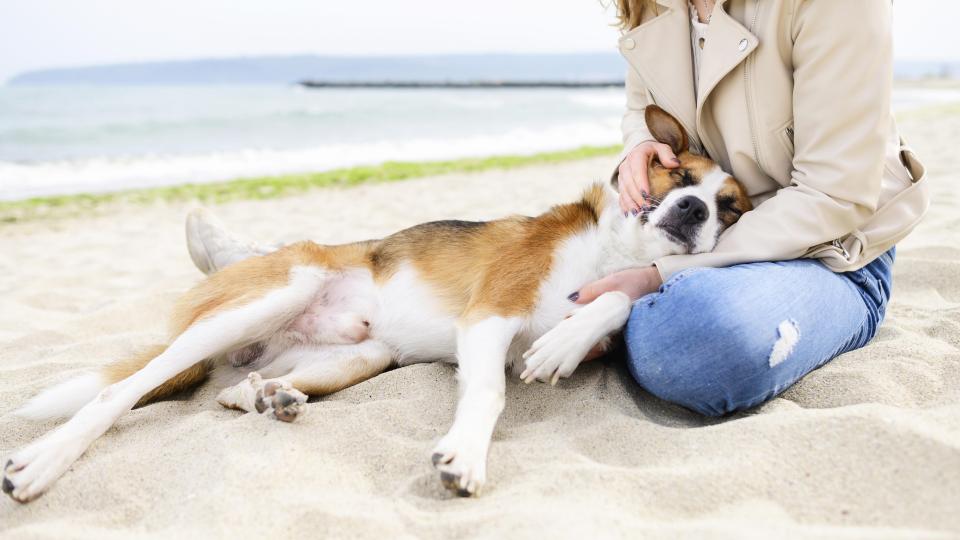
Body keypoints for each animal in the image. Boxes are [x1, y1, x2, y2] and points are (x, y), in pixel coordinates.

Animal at [1, 105, 752, 502]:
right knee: (120, 391)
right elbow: (489, 393)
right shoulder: (488, 315)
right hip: (280, 289)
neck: (611, 252)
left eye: (731, 208)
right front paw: (465, 454)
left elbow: (616, 305)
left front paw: (568, 338)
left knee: (239, 385)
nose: (692, 211)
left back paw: (266, 396)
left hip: (361, 353)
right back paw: (45, 461)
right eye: (678, 175)